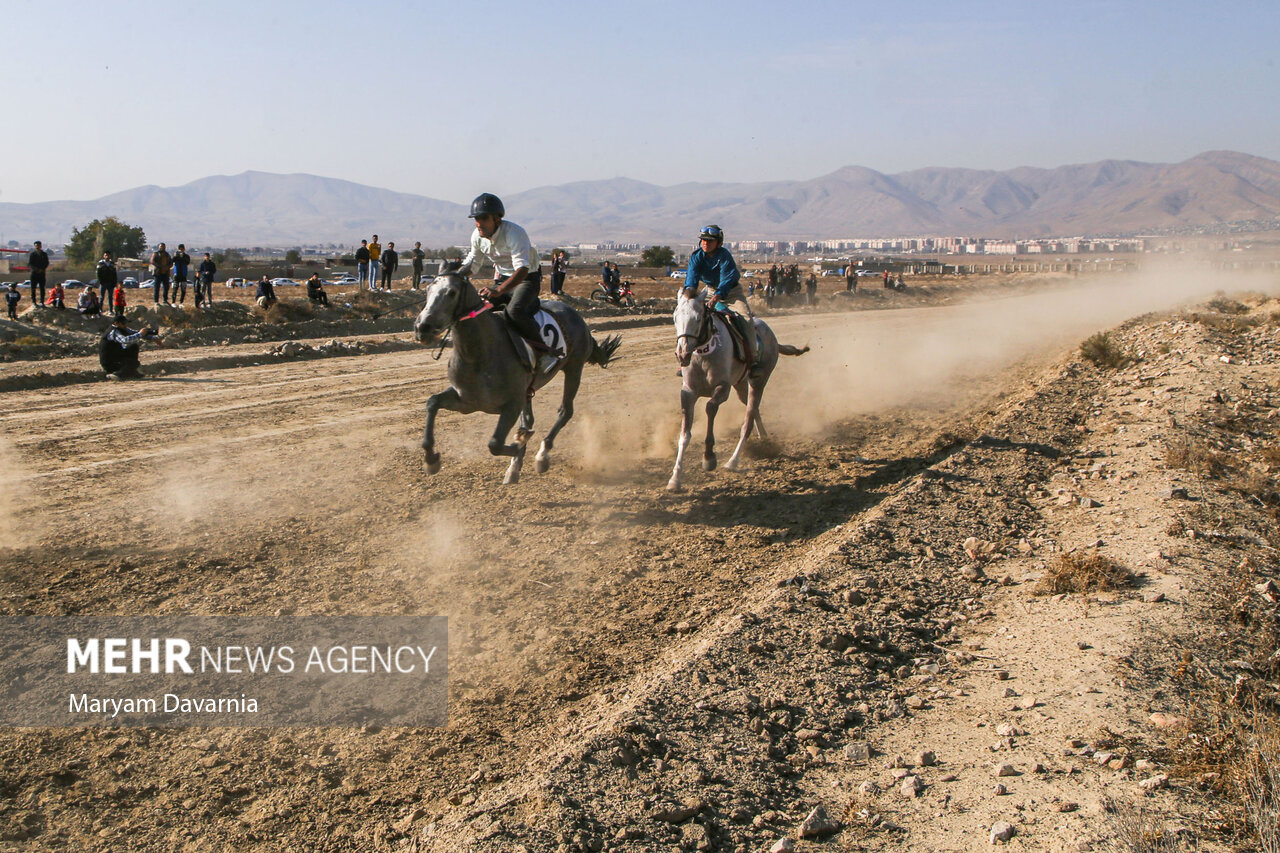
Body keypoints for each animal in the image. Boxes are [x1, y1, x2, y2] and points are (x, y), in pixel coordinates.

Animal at [414, 272, 619, 484]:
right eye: (428, 290)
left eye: (452, 293)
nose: (422, 327)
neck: (479, 353)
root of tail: (575, 314)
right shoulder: (466, 401)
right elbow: (432, 402)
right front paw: (431, 459)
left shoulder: (512, 404)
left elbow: (495, 444)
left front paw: (519, 444)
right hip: (530, 389)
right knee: (530, 419)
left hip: (574, 369)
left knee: (565, 411)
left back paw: (542, 455)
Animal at [665, 285, 803, 489]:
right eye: (675, 317)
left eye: (698, 318)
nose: (682, 354)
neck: (705, 354)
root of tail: (772, 336)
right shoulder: (688, 392)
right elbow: (684, 434)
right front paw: (675, 478)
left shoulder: (723, 388)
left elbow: (710, 408)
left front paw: (709, 457)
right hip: (741, 385)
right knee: (754, 411)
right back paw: (764, 439)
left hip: (758, 381)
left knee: (748, 418)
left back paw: (733, 461)